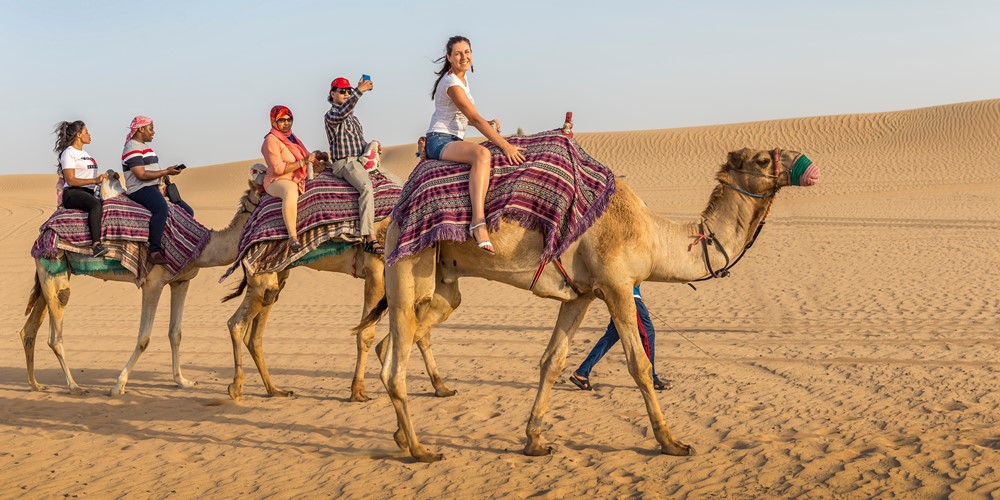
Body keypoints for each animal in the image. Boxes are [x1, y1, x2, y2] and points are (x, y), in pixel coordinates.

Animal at [21, 178, 262, 396]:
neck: (200, 247)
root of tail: (43, 230)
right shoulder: (153, 283)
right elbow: (144, 338)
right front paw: (118, 385)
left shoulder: (181, 282)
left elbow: (175, 333)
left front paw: (182, 381)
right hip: (53, 269)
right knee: (55, 334)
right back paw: (74, 386)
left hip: (52, 274)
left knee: (29, 329)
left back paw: (36, 385)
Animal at [224, 215, 458, 402]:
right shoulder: (376, 270)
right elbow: (366, 334)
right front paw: (358, 392)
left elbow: (423, 332)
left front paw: (442, 388)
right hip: (260, 275)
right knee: (236, 323)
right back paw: (236, 388)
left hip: (278, 273)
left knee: (254, 334)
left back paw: (275, 390)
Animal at [360, 146, 820, 460]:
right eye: (762, 159)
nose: (808, 164)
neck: (653, 234)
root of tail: (396, 214)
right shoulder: (617, 284)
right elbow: (639, 364)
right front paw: (671, 441)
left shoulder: (580, 295)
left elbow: (552, 361)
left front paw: (535, 440)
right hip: (408, 267)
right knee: (395, 364)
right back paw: (420, 449)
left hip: (441, 286)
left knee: (395, 342)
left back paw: (400, 435)